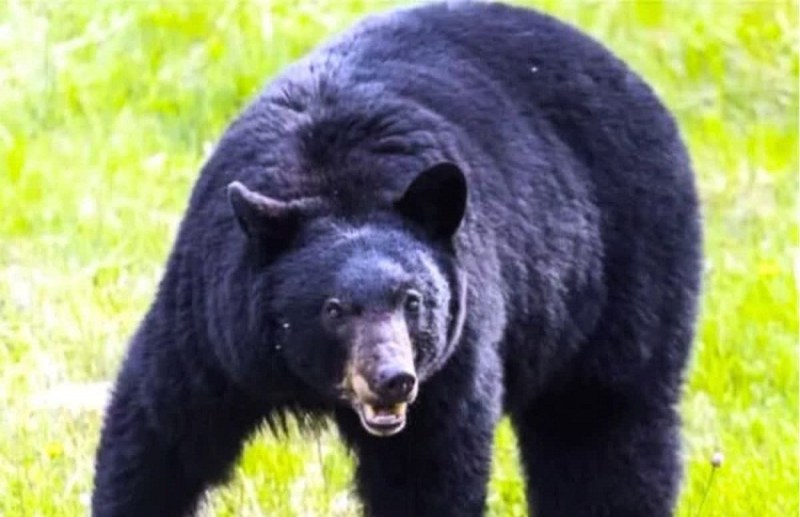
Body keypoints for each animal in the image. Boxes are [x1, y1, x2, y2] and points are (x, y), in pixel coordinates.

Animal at [91, 2, 702, 516]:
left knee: (604, 428)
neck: (335, 182)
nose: (392, 380)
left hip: (627, 270)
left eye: (413, 301)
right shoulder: (212, 322)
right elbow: (159, 433)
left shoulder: (454, 357)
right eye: (333, 309)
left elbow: (428, 471)